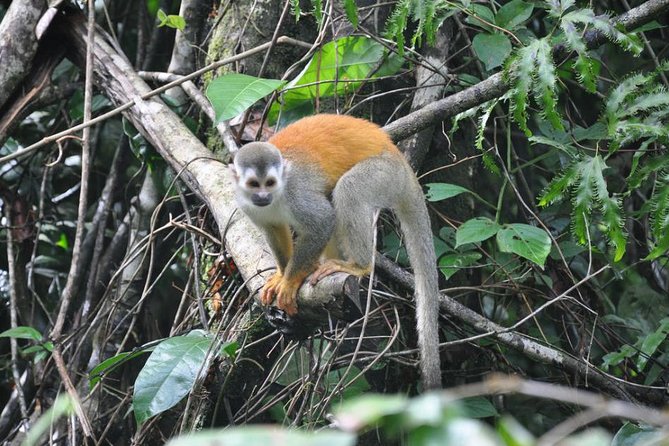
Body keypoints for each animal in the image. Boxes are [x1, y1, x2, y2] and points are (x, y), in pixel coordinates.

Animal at [232, 114, 440, 386]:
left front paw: (290, 281)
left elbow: (323, 220)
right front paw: (281, 275)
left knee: (348, 190)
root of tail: (403, 165)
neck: (276, 197)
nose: (263, 196)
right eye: (254, 185)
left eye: (270, 183)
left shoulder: (295, 193)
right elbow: (273, 228)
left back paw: (358, 265)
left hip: (386, 174)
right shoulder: (247, 203)